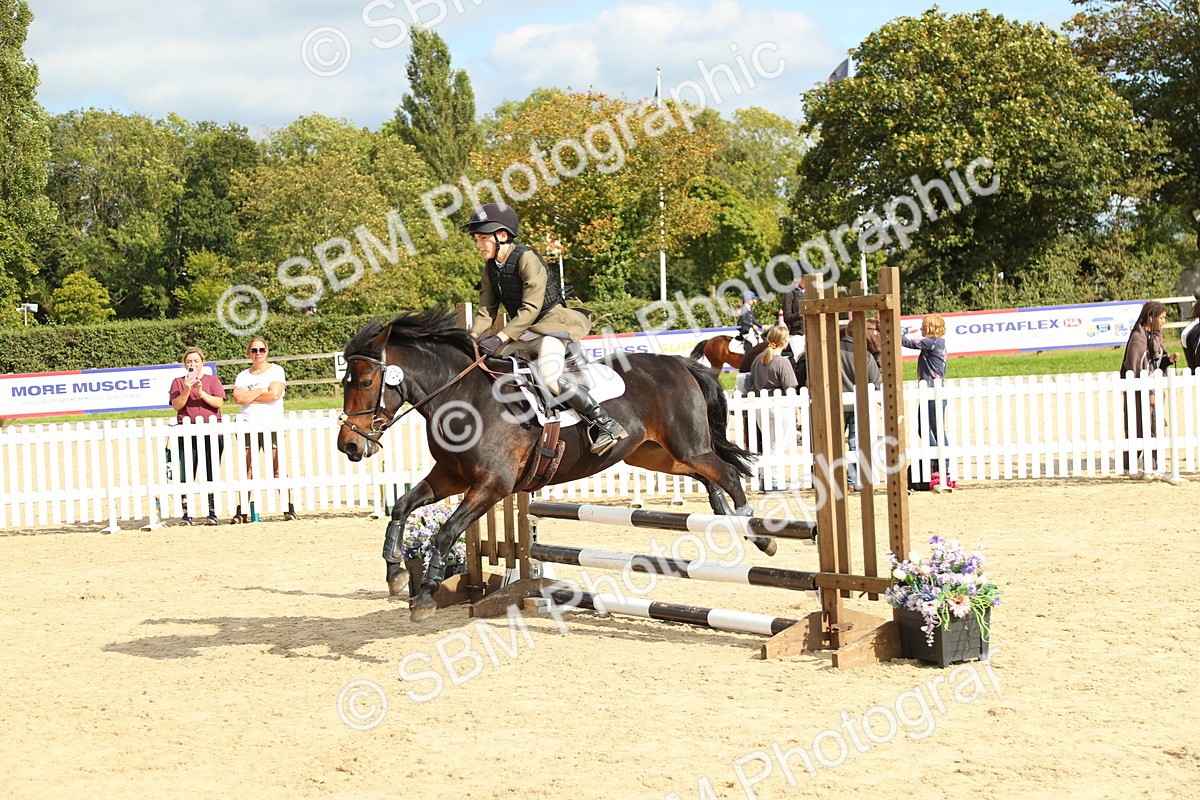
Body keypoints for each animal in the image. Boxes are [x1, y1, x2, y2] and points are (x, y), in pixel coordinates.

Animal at [337, 309, 764, 622]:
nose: (349, 446)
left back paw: (757, 534)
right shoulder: (450, 478)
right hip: (656, 454)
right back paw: (722, 513)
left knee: (727, 472)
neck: (462, 397)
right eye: (344, 381)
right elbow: (402, 506)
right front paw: (395, 574)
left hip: (686, 447)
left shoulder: (493, 485)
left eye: (366, 381)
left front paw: (424, 596)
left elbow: (445, 533)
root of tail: (680, 364)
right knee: (709, 475)